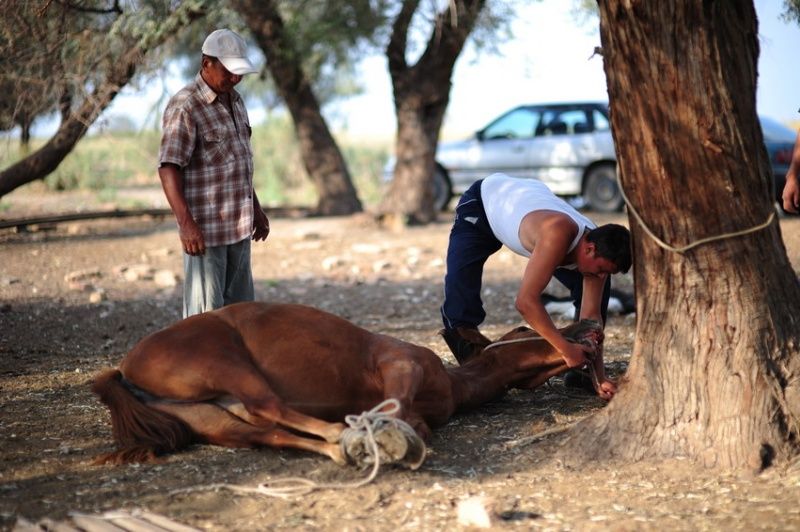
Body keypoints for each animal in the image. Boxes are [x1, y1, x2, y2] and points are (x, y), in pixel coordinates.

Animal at [92, 302, 600, 468]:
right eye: (522, 328)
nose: (591, 326)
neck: (453, 384)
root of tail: (124, 370)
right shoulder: (401, 364)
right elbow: (396, 409)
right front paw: (387, 436)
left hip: (212, 417)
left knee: (265, 432)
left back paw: (340, 448)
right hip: (228, 365)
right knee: (267, 408)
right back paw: (343, 436)